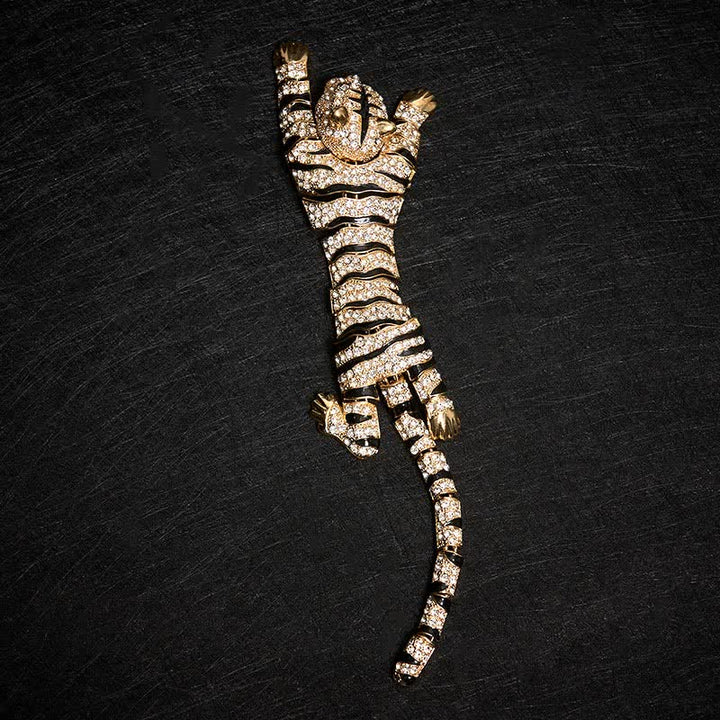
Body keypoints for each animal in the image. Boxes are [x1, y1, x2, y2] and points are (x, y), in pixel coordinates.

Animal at [273, 41, 463, 684]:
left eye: (353, 98)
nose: (351, 77)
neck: (356, 157)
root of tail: (387, 368)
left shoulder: (318, 160)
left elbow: (294, 127)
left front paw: (293, 66)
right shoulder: (382, 172)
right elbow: (403, 150)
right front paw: (411, 111)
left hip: (358, 364)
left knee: (367, 441)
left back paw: (332, 414)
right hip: (409, 351)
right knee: (430, 395)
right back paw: (442, 416)